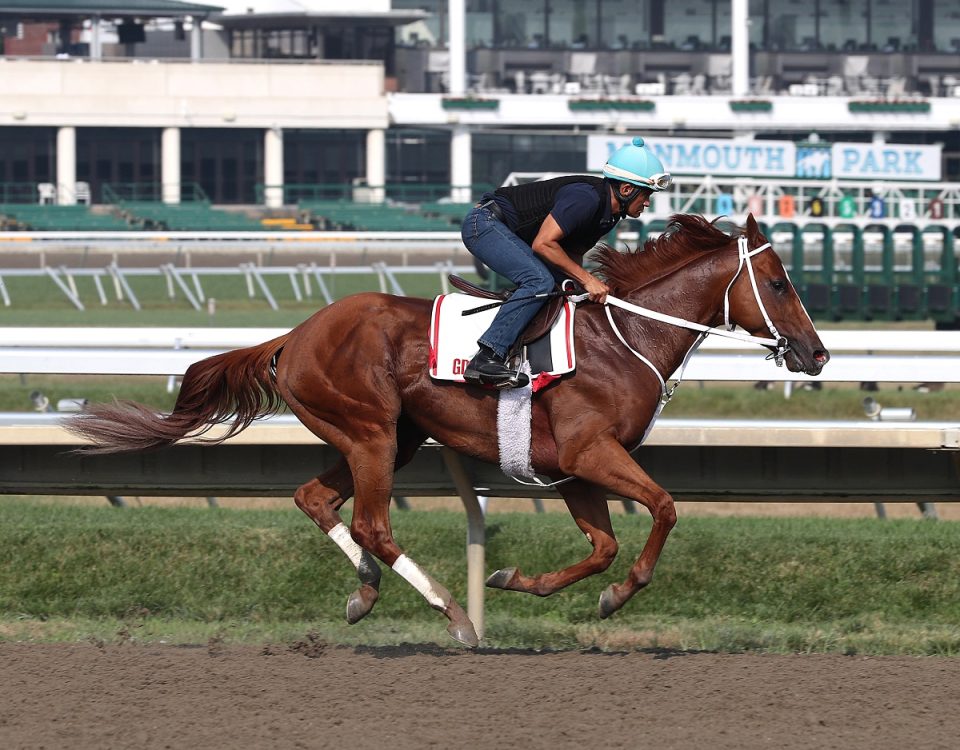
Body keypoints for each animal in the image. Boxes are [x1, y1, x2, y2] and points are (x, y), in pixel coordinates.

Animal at [69, 214, 832, 648]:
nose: (817, 354)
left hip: (389, 438)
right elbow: (664, 511)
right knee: (373, 523)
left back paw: (365, 591)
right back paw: (453, 617)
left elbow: (602, 547)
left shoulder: (569, 468)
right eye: (780, 282)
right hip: (372, 433)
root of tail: (296, 334)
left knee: (316, 499)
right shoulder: (591, 451)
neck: (626, 338)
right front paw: (616, 596)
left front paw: (517, 579)